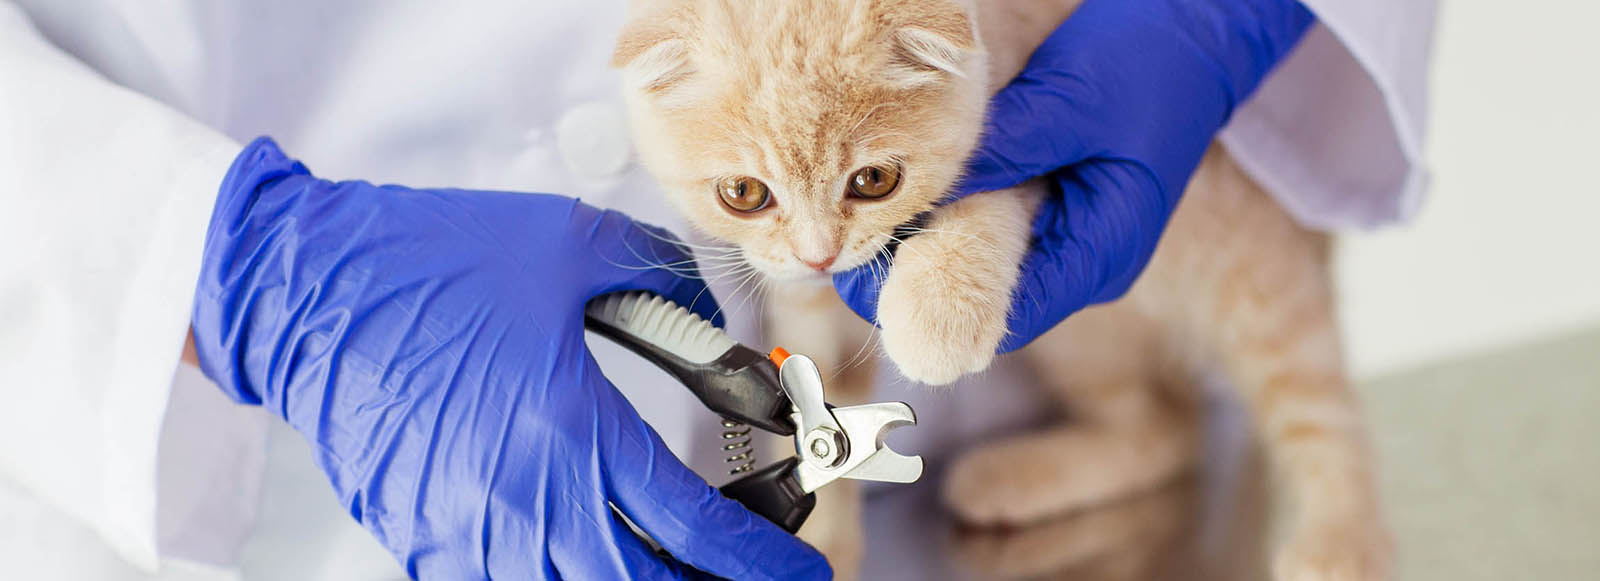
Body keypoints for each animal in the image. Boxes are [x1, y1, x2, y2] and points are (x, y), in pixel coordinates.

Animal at [611, 2, 1388, 579]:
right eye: (743, 193)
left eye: (873, 180)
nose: (820, 253)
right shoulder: (799, 298)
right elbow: (818, 379)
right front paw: (821, 541)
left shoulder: (1025, 133)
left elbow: (976, 209)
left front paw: (934, 316)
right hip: (1087, 340)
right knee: (1173, 424)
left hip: (1249, 275)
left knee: (1312, 403)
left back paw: (1341, 540)